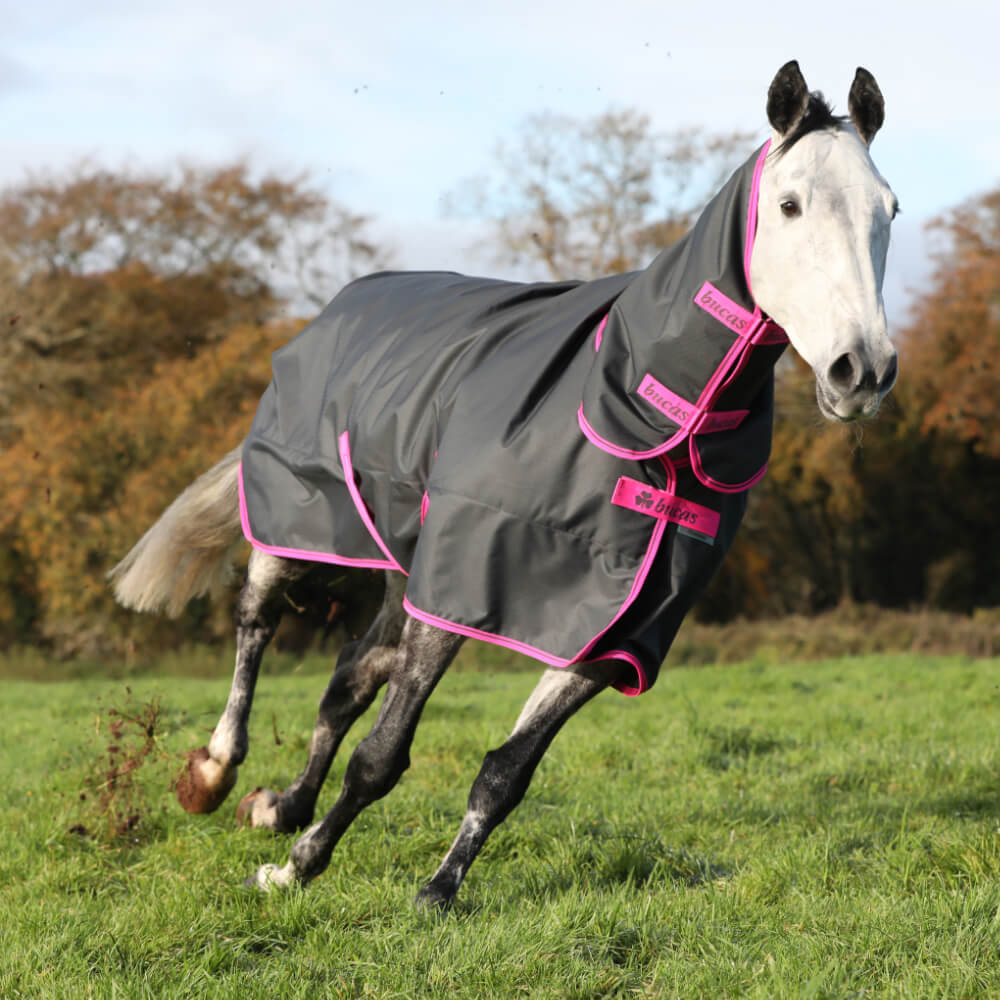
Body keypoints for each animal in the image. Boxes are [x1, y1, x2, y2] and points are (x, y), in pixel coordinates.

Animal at [109, 60, 898, 907]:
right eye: (789, 205)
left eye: (889, 210)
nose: (862, 370)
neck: (634, 411)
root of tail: (340, 304)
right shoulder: (457, 588)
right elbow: (382, 756)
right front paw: (298, 868)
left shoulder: (612, 629)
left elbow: (506, 772)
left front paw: (436, 890)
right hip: (302, 512)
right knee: (257, 619)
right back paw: (216, 772)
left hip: (402, 565)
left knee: (349, 677)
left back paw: (280, 806)